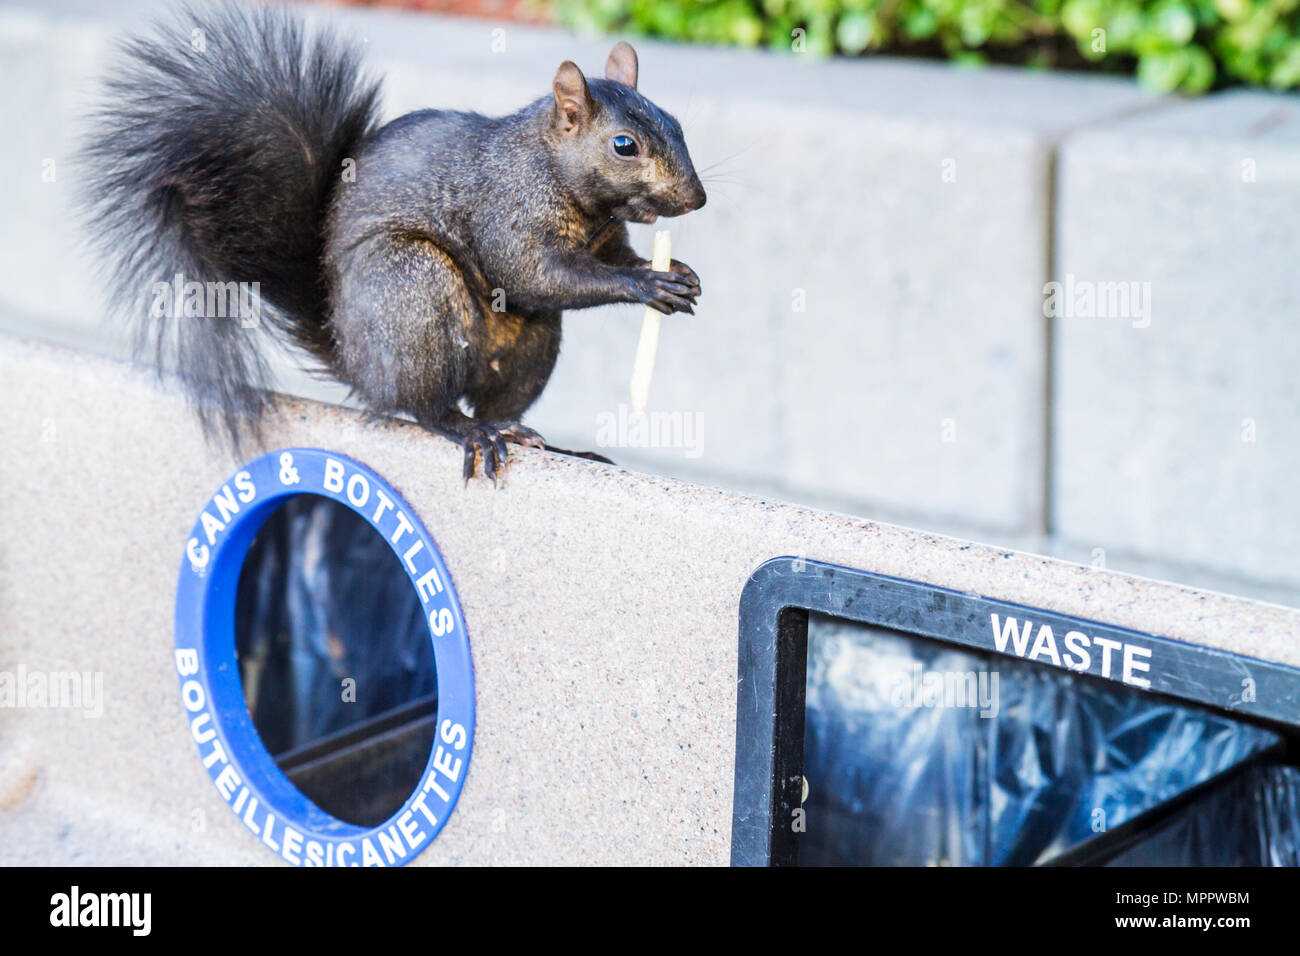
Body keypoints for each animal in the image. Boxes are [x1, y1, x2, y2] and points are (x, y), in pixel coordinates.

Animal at [78, 3, 712, 481]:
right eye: (625, 145)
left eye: (678, 125)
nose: (696, 198)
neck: (560, 176)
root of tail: (358, 364)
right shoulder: (507, 209)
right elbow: (532, 272)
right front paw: (647, 281)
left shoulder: (603, 237)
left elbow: (605, 259)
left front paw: (678, 271)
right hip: (409, 287)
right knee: (426, 406)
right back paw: (470, 431)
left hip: (528, 347)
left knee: (501, 403)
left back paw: (542, 441)